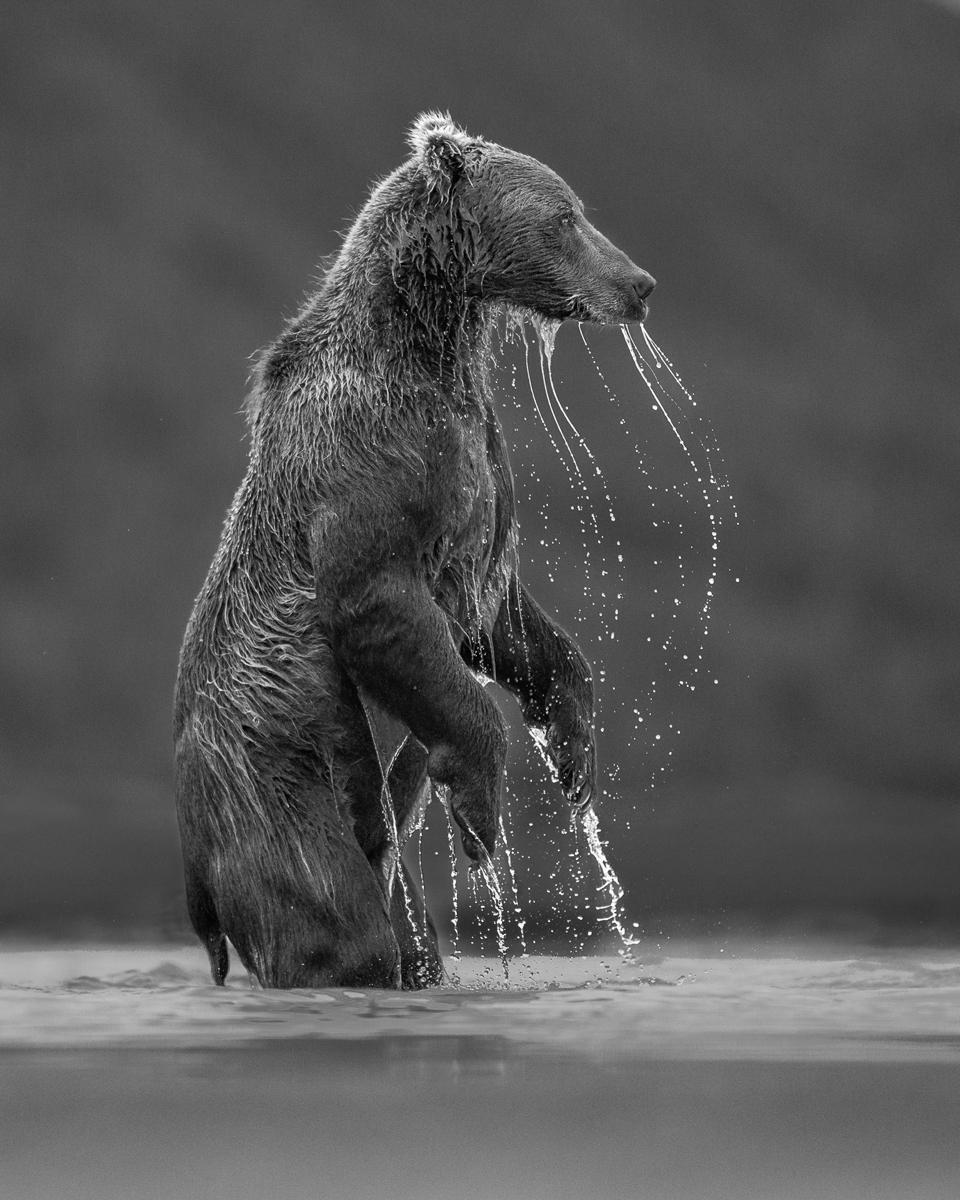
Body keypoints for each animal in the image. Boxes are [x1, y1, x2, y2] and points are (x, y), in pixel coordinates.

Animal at [174, 113, 655, 990]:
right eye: (564, 217)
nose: (640, 284)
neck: (431, 344)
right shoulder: (367, 460)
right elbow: (378, 602)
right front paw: (479, 813)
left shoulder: (475, 478)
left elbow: (504, 620)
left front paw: (574, 759)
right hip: (277, 772)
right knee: (333, 922)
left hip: (372, 843)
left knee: (407, 931)